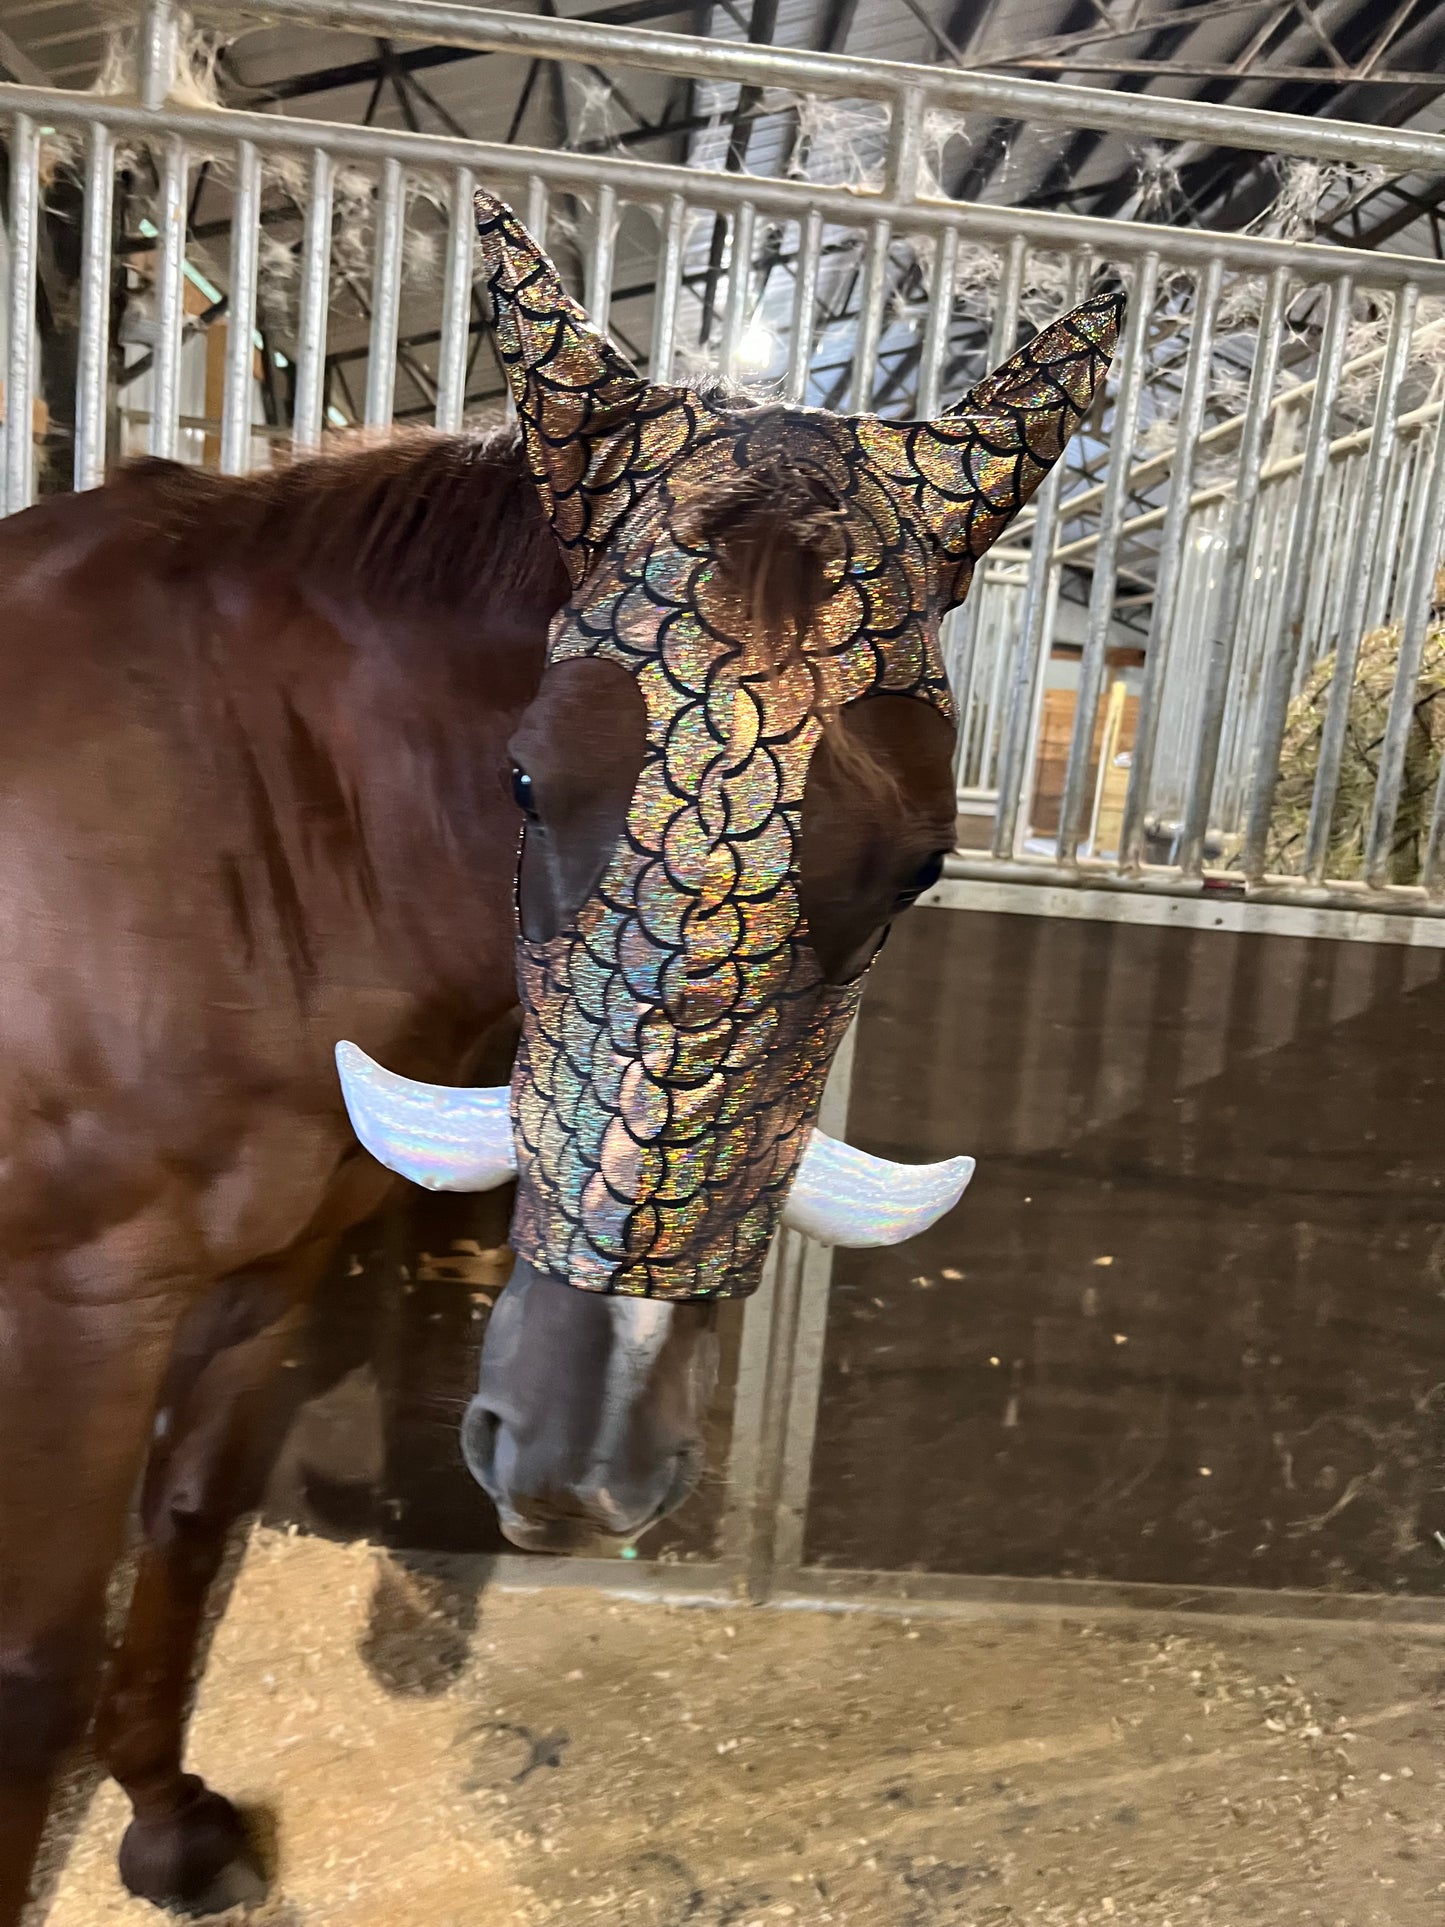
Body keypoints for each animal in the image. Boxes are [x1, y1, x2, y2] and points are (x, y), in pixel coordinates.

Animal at [0, 182, 1119, 1921]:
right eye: (526, 781)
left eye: (922, 864)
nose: (584, 1451)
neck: (225, 808)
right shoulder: (81, 1303)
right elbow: (38, 1654)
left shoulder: (261, 1279)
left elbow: (184, 1529)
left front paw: (173, 1823)